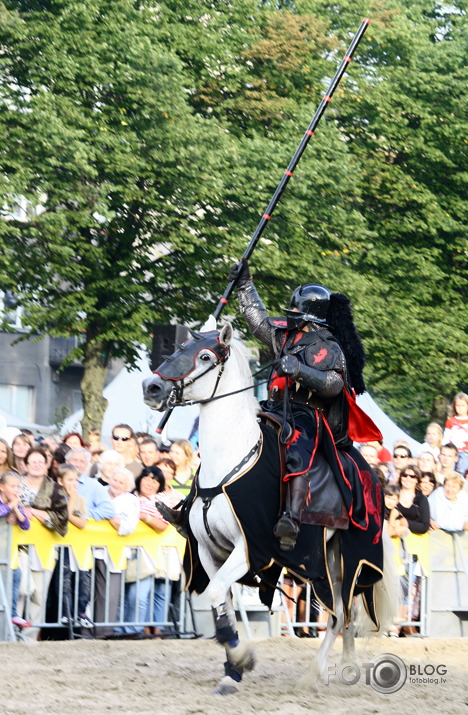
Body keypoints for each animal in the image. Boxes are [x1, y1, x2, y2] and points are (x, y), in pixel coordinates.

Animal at [143, 320, 398, 700]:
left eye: (205, 357)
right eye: (179, 348)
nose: (152, 386)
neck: (231, 458)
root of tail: (372, 474)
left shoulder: (249, 550)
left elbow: (217, 593)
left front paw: (241, 659)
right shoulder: (209, 552)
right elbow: (223, 605)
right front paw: (231, 671)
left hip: (346, 559)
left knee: (340, 613)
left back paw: (316, 674)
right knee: (345, 614)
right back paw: (346, 669)